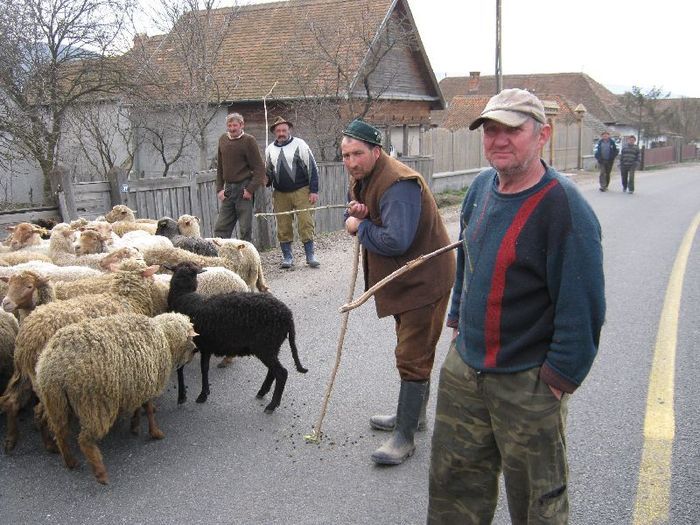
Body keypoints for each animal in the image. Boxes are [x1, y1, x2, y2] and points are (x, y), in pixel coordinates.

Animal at [36, 312, 197, 484]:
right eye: (190, 338)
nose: (195, 350)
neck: (165, 337)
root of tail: (57, 367)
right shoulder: (147, 382)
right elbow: (148, 408)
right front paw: (155, 432)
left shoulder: (137, 385)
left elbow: (139, 407)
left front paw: (135, 426)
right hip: (94, 405)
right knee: (84, 439)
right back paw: (100, 473)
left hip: (55, 401)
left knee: (57, 429)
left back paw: (65, 457)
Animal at [165, 260, 308, 412]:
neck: (183, 296)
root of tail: (288, 315)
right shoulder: (204, 347)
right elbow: (202, 368)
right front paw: (199, 393)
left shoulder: (197, 346)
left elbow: (189, 370)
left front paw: (191, 396)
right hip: (272, 347)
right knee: (273, 371)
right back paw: (262, 392)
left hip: (265, 346)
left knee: (281, 373)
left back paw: (272, 404)